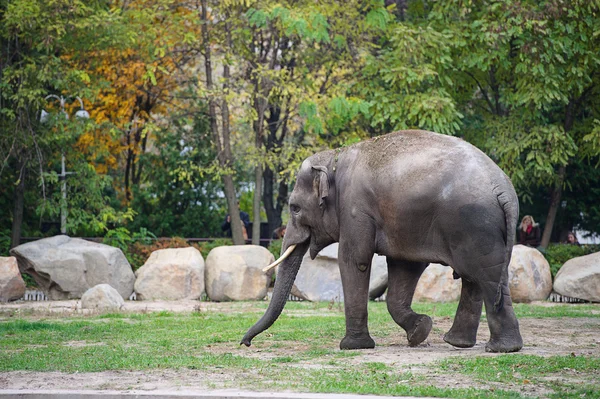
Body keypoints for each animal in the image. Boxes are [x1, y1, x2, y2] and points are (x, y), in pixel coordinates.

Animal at [241, 130, 524, 354]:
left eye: (295, 208)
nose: (245, 343)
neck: (333, 159)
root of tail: (505, 191)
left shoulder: (356, 209)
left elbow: (355, 260)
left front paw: (353, 347)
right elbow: (404, 267)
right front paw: (420, 330)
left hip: (473, 225)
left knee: (485, 276)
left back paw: (500, 348)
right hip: (478, 230)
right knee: (477, 277)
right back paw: (463, 343)